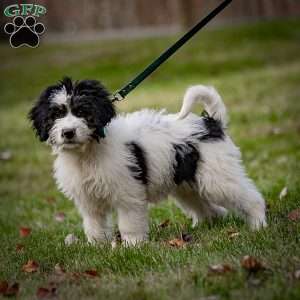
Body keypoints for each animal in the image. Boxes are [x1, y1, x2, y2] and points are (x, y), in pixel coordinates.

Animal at [28, 77, 268, 244]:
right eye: (55, 115)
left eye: (82, 112)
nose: (68, 132)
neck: (87, 153)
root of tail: (211, 123)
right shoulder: (88, 200)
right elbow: (94, 225)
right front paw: (97, 246)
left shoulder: (128, 193)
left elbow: (129, 223)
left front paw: (132, 246)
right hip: (186, 185)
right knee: (209, 208)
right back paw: (203, 227)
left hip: (217, 177)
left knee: (250, 197)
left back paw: (258, 224)